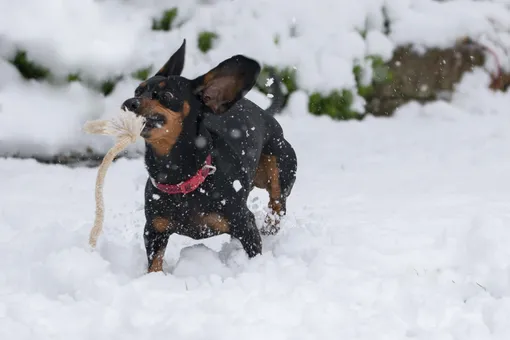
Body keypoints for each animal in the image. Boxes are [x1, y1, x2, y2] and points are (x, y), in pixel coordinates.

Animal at [121, 40, 296, 274]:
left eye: (166, 96)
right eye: (138, 91)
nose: (129, 102)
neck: (182, 178)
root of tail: (266, 114)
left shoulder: (244, 223)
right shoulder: (154, 231)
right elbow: (155, 264)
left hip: (280, 171)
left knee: (277, 205)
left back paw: (269, 228)